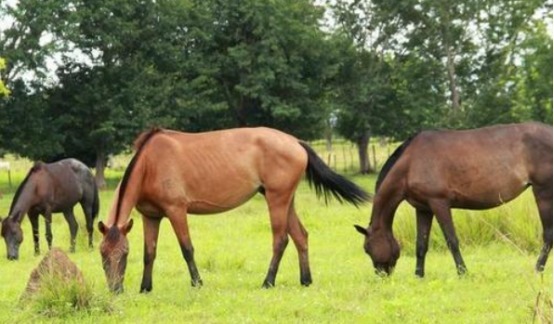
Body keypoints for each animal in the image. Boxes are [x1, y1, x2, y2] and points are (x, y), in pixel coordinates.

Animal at [97, 127, 368, 294]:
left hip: (277, 199)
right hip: (286, 200)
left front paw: (197, 283)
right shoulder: (150, 216)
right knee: (301, 236)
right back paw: (305, 281)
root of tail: (295, 142)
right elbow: (149, 253)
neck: (150, 164)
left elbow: (187, 249)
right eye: (102, 254)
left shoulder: (176, 211)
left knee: (280, 240)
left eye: (123, 254)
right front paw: (145, 288)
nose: (115, 290)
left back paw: (268, 282)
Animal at [352, 123, 548, 278]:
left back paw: (538, 270)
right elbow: (421, 244)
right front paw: (418, 275)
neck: (410, 164)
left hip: (543, 192)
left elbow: (452, 240)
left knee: (548, 234)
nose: (382, 275)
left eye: (367, 248)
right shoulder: (423, 209)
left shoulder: (439, 204)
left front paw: (463, 273)